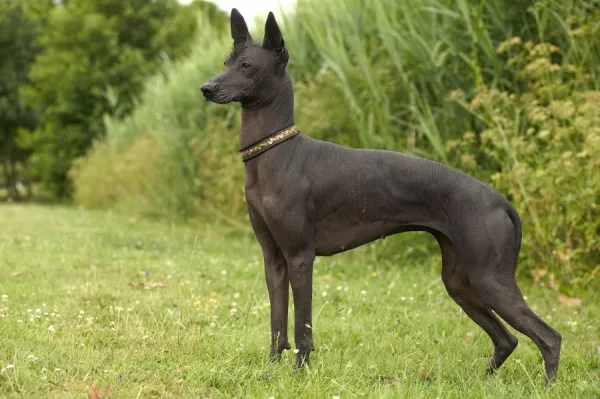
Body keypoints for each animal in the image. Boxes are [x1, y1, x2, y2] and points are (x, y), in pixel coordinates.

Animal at [202, 8, 564, 384]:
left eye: (246, 66)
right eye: (227, 61)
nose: (206, 88)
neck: (277, 153)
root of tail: (500, 201)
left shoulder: (300, 258)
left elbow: (302, 328)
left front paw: (300, 374)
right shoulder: (273, 259)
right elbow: (277, 323)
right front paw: (271, 370)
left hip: (490, 279)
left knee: (548, 336)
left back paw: (547, 384)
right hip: (460, 283)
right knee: (507, 339)